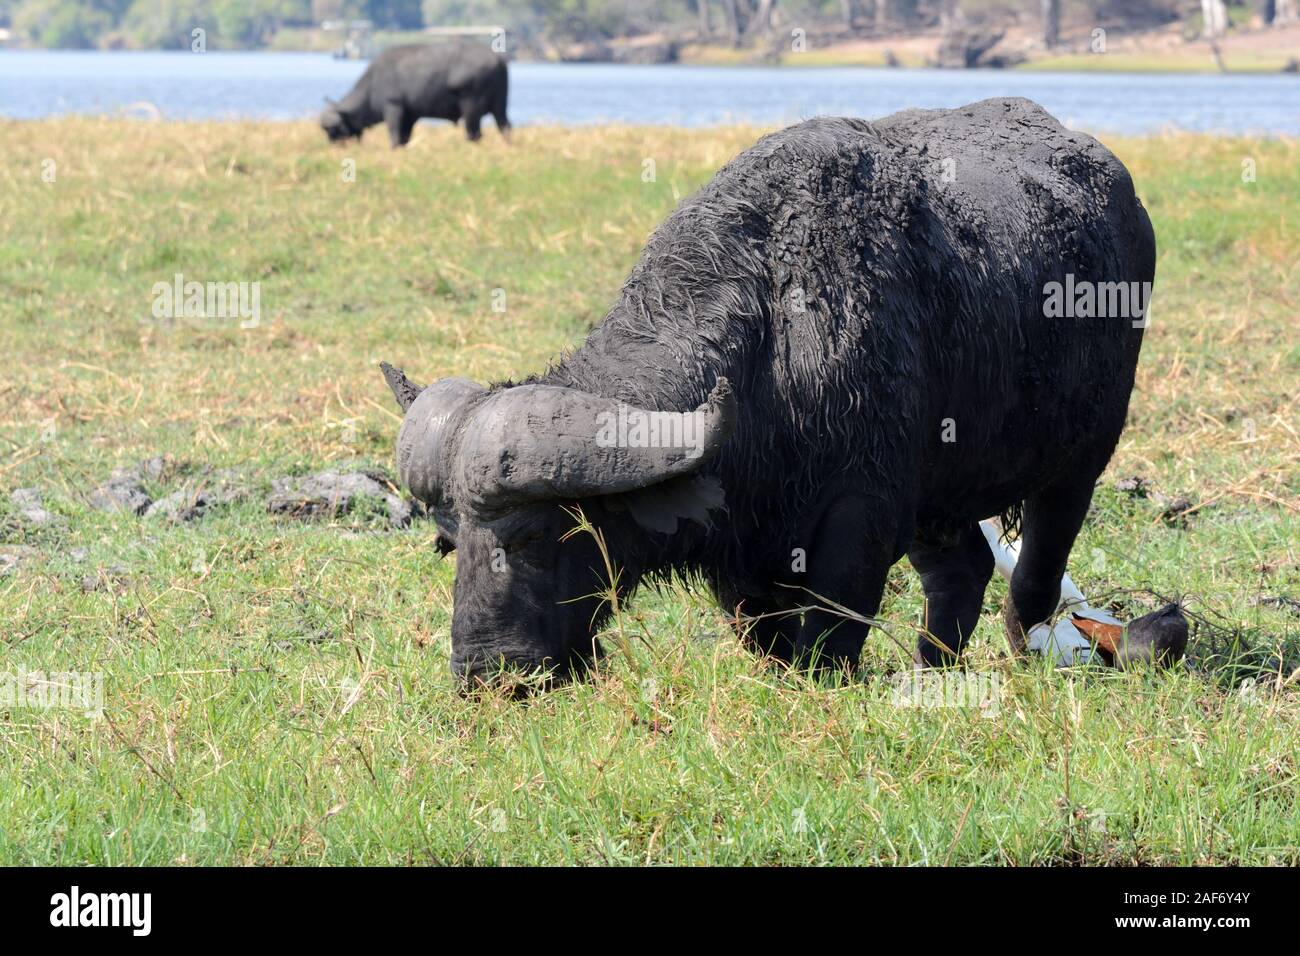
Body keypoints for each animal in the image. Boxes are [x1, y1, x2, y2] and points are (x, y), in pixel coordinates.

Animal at [321, 41, 509, 148]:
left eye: (335, 130)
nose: (334, 148)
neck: (372, 84)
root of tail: (497, 59)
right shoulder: (410, 116)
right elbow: (404, 138)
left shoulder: (393, 107)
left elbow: (394, 135)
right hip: (499, 107)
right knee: (504, 127)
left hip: (471, 108)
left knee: (474, 133)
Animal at [382, 97, 1156, 684]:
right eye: (448, 539)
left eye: (536, 535)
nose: (487, 672)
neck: (770, 346)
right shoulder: (746, 540)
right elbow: (763, 633)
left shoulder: (863, 515)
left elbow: (830, 635)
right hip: (940, 490)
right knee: (961, 569)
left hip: (1077, 465)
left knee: (1034, 575)